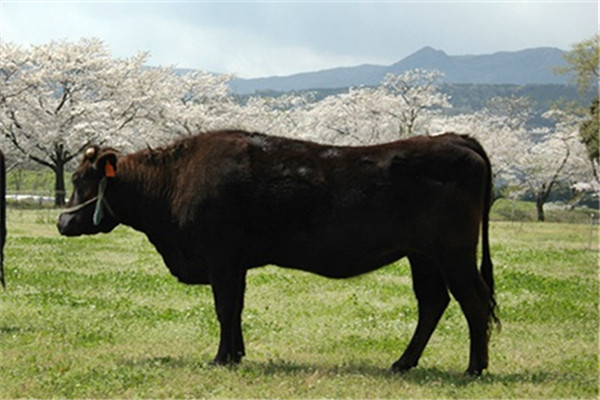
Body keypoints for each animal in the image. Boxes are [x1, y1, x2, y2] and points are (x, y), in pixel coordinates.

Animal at [57, 130, 496, 376]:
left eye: (81, 180)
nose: (62, 222)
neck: (176, 180)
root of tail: (452, 138)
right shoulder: (235, 264)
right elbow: (235, 308)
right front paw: (236, 354)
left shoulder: (221, 257)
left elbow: (224, 307)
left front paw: (221, 359)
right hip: (423, 256)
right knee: (433, 303)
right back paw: (403, 363)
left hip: (453, 253)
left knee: (474, 303)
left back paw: (474, 368)